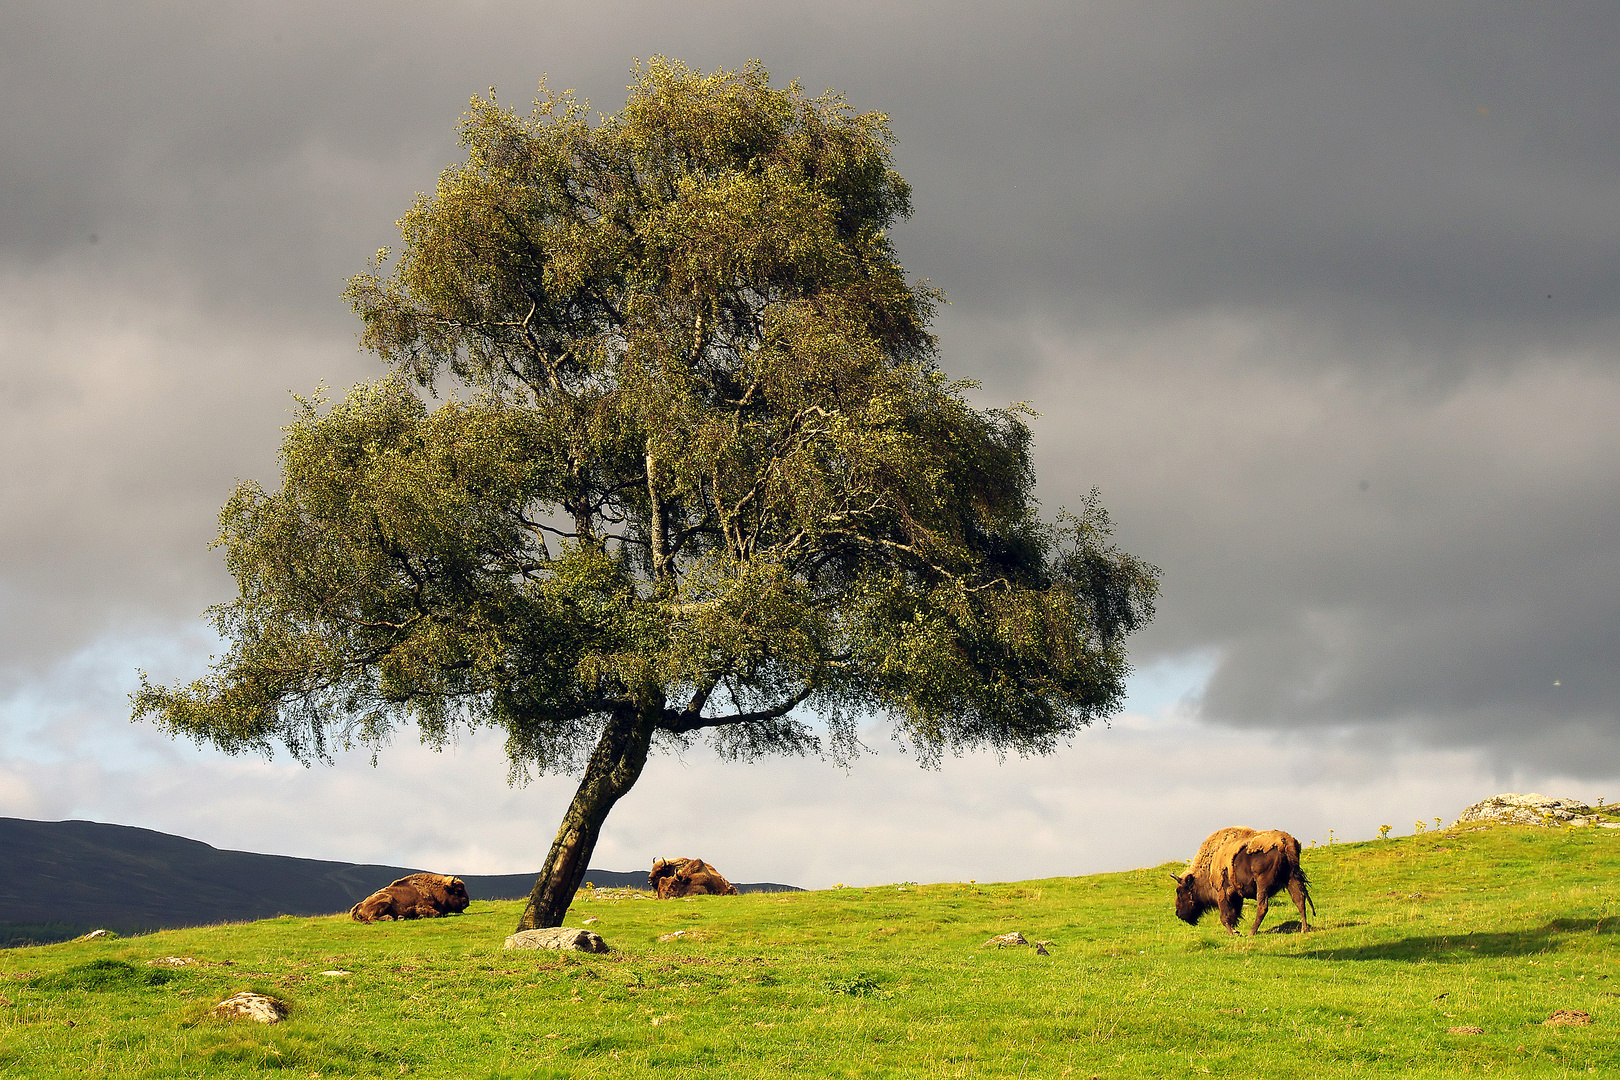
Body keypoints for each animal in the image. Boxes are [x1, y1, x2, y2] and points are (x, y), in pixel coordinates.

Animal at [1179, 829, 1315, 939]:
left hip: (1262, 885)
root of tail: (1284, 842)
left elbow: (1224, 917)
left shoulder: (1222, 892)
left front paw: (1234, 932)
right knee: (1299, 900)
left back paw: (1251, 933)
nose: (1178, 914)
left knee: (1262, 907)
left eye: (1180, 892)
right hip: (1291, 879)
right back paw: (1304, 929)